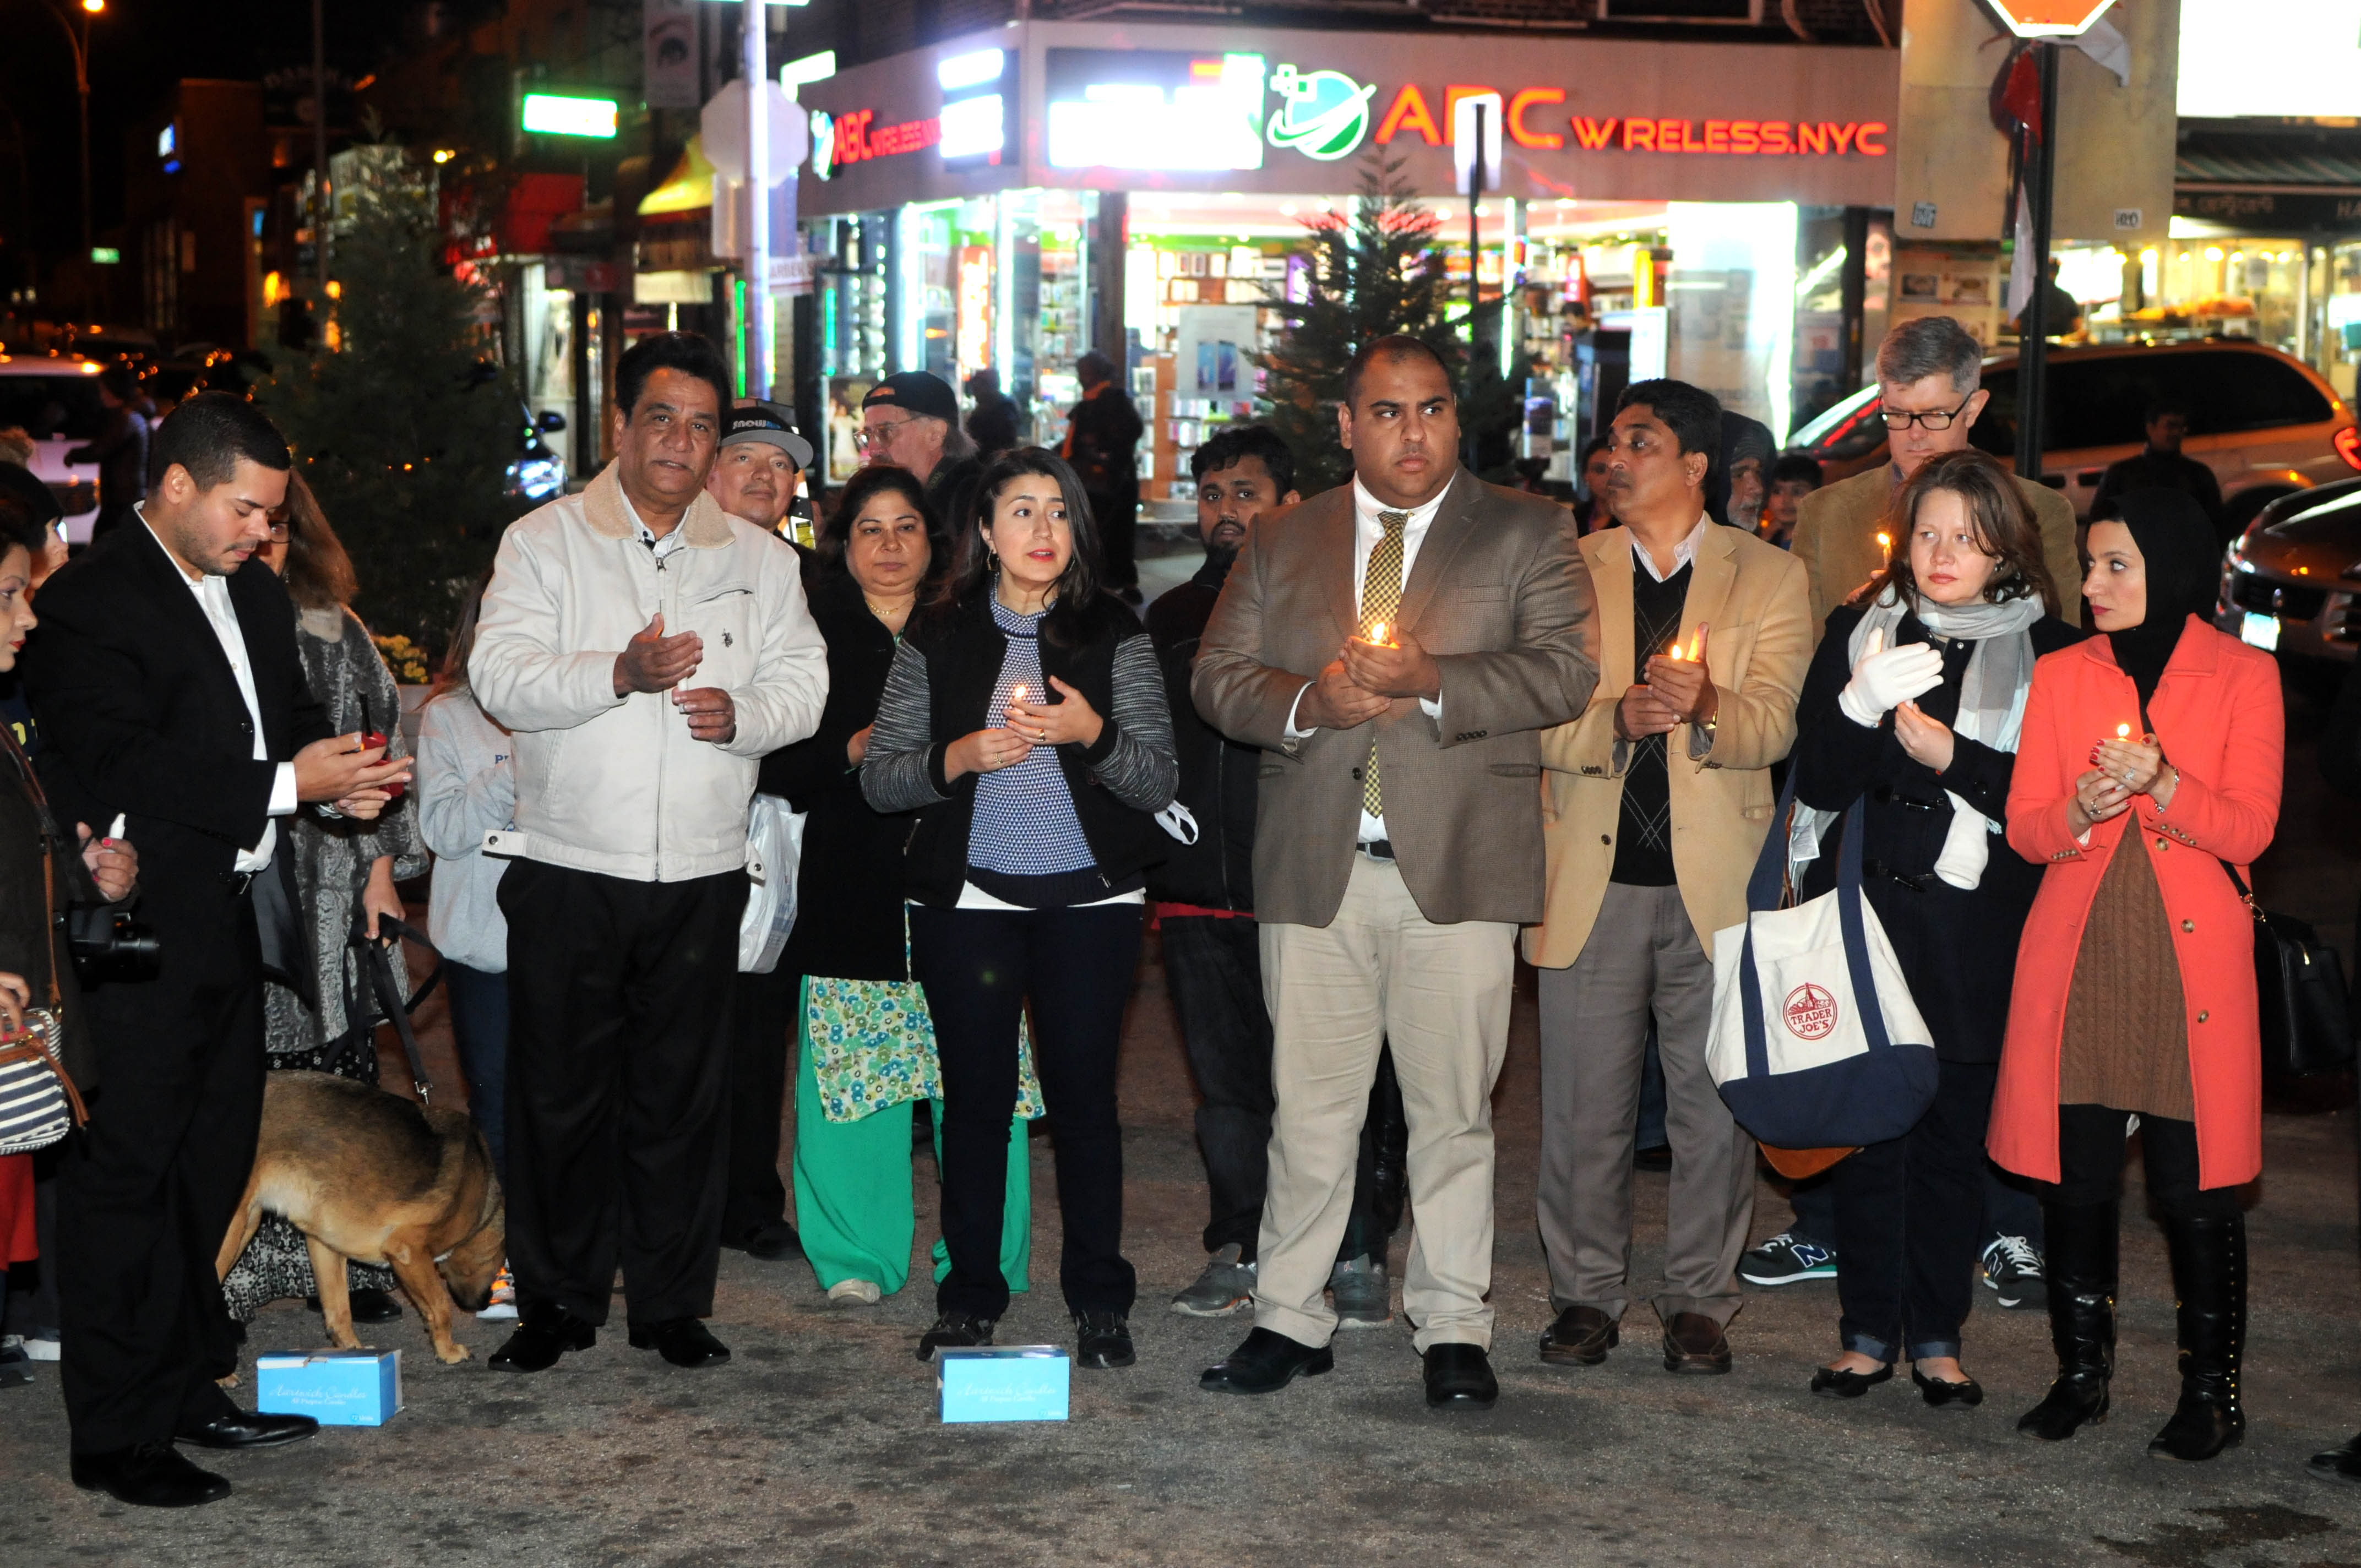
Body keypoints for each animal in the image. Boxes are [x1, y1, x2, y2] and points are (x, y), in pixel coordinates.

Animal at [217, 1071, 505, 1365]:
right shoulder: (408, 1252)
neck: (484, 1203)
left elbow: (338, 1311)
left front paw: (350, 1351)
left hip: (248, 1223)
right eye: (496, 1263)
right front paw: (448, 1351)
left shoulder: (324, 1246)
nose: (486, 1302)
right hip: (233, 1231)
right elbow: (440, 1306)